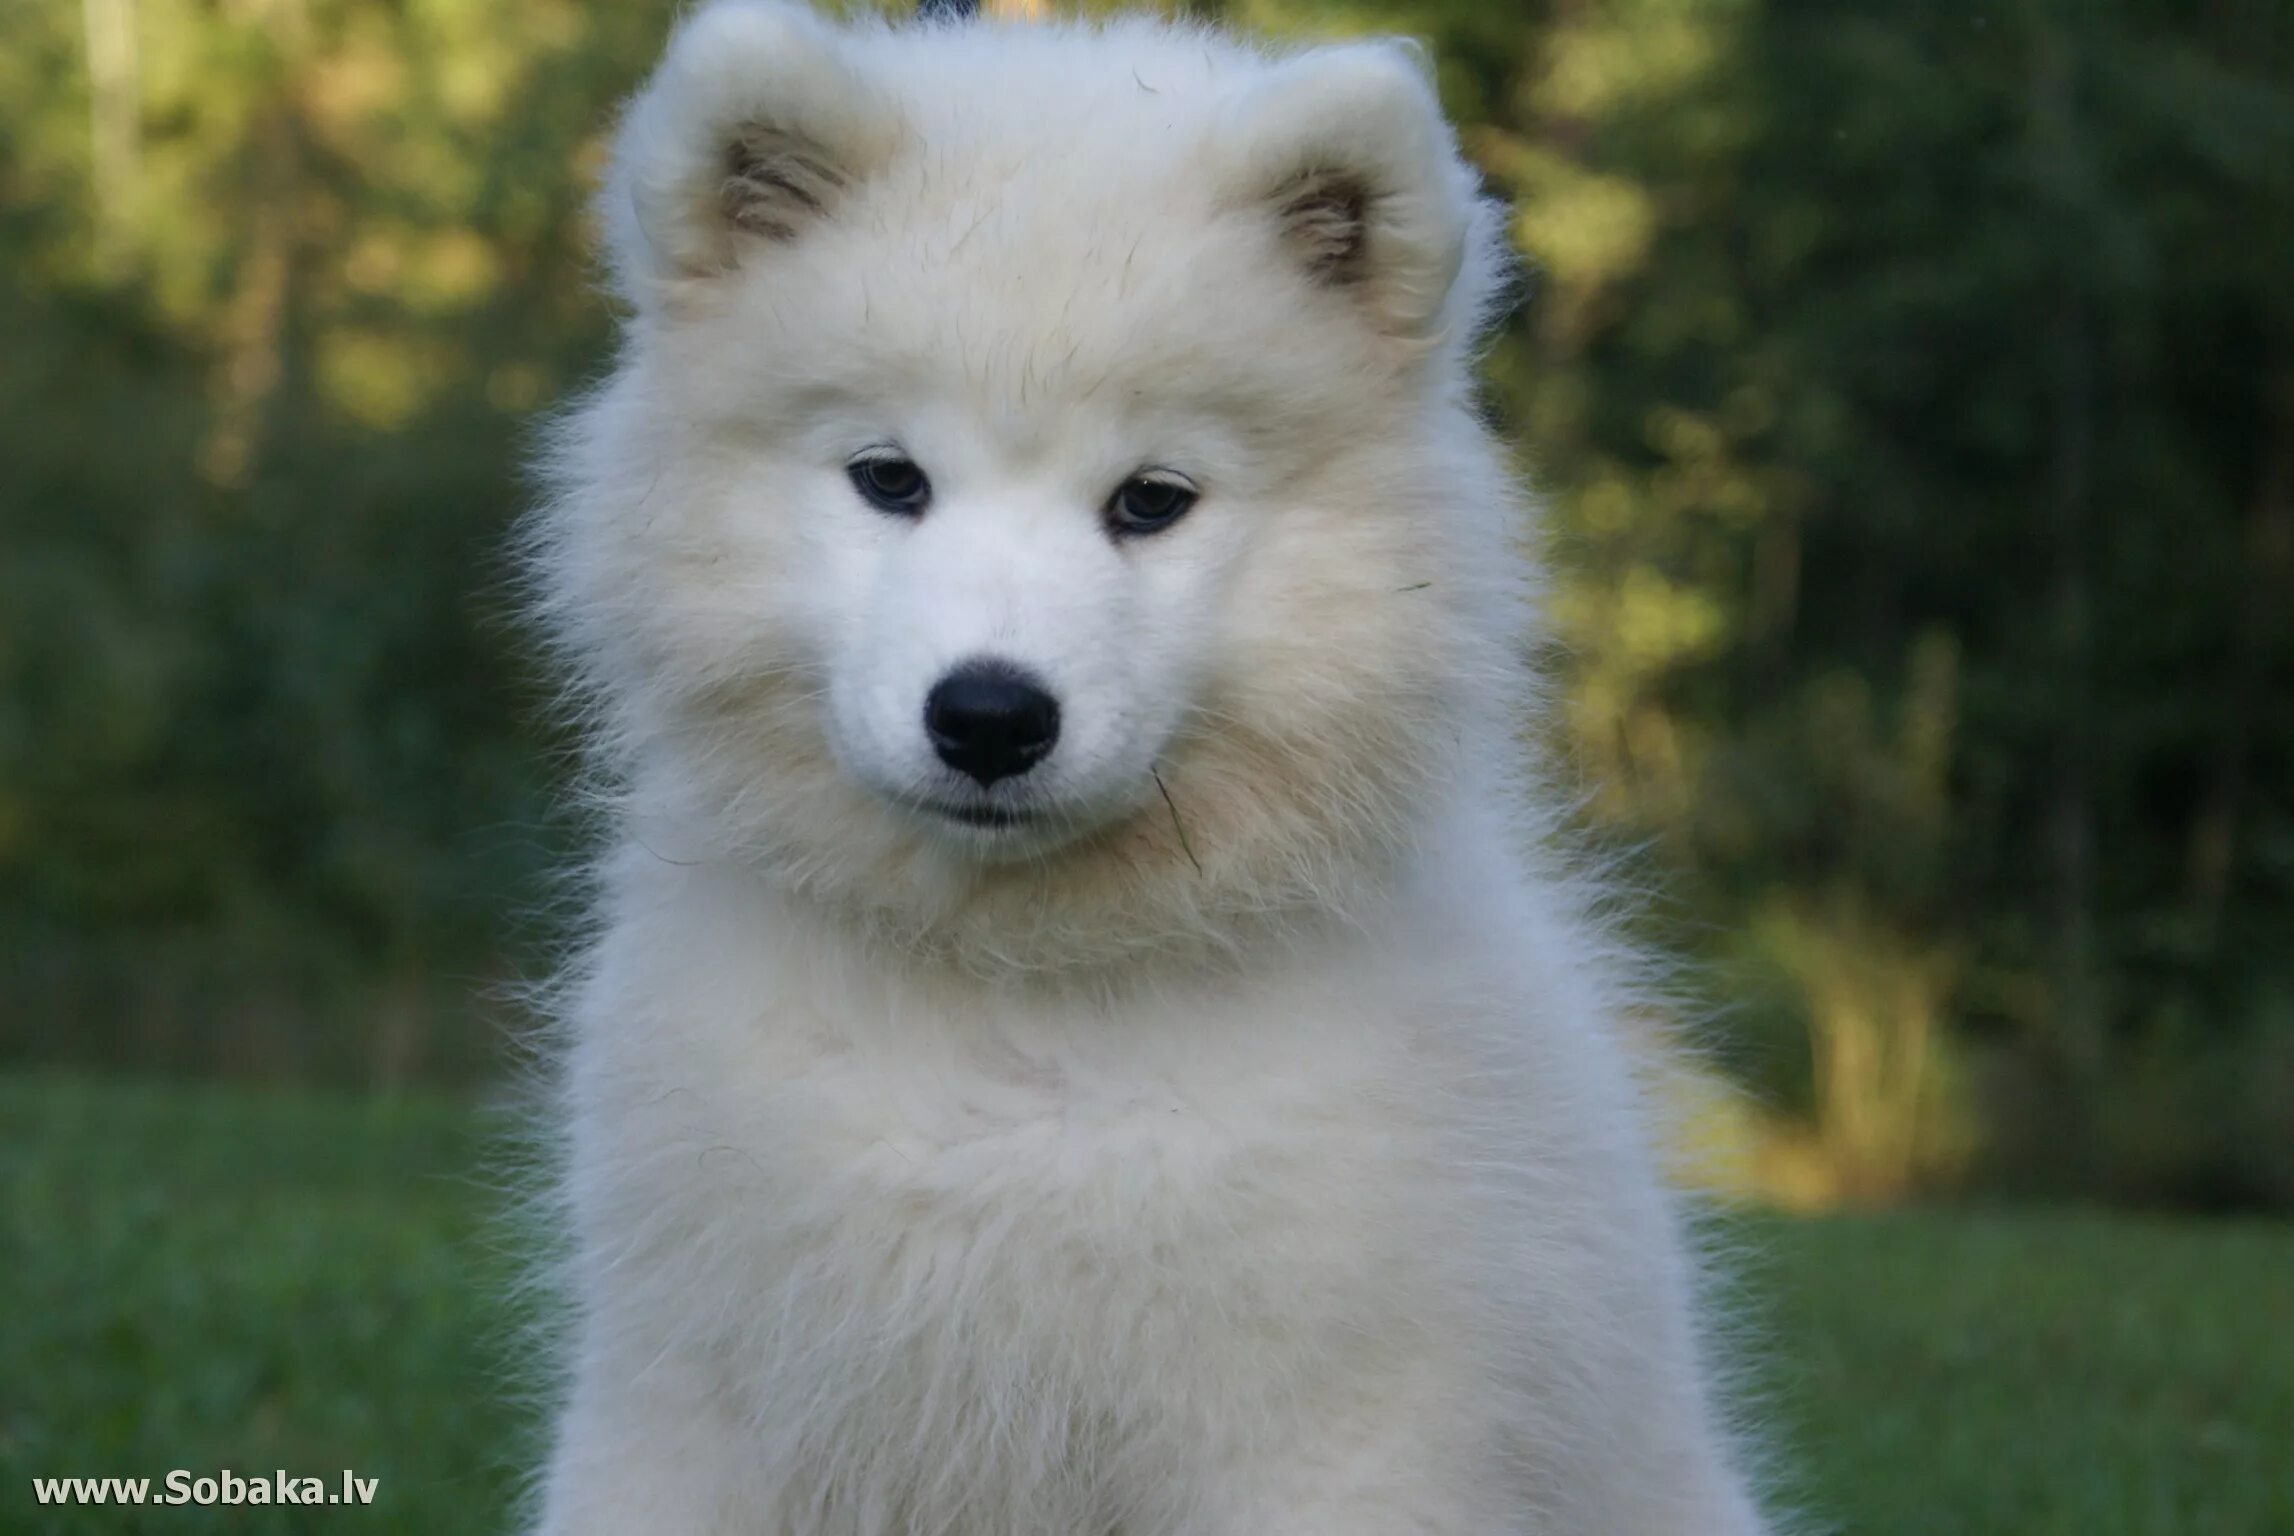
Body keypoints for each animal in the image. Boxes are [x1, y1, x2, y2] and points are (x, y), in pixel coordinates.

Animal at [525, 6, 1770, 1531]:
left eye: (1151, 501)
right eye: (889, 479)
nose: (989, 715)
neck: (1014, 1014)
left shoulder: (1333, 1438)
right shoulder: (685, 1402)